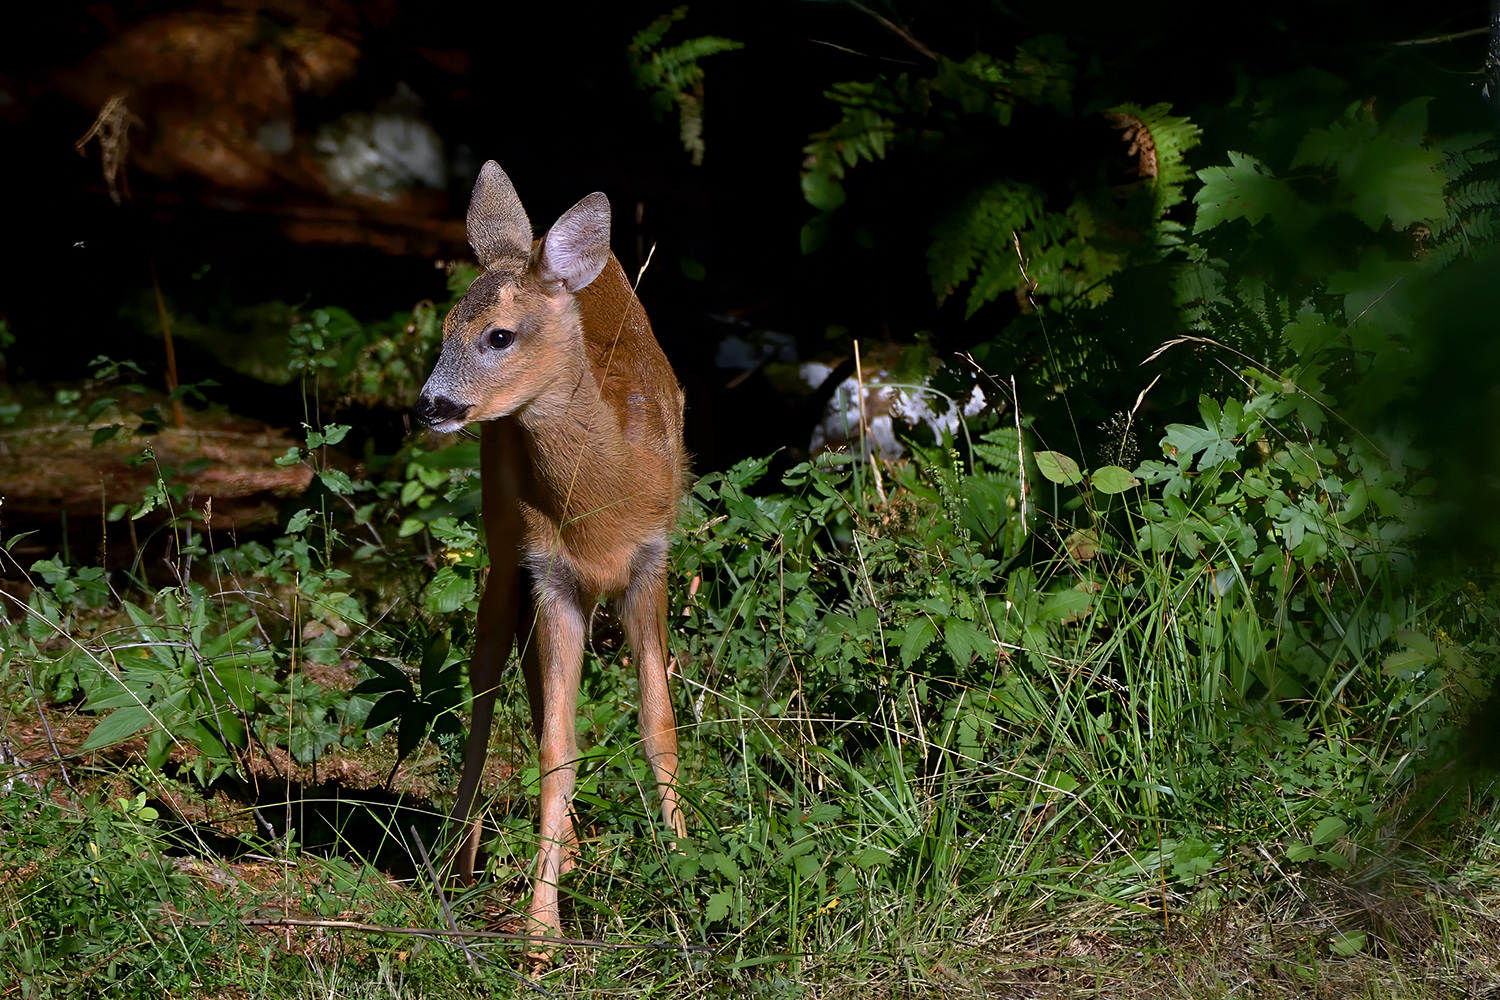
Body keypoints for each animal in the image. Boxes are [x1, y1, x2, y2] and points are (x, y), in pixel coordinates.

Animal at [414, 160, 687, 941]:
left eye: (499, 335)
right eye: (444, 328)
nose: (430, 406)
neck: (605, 499)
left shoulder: (651, 561)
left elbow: (659, 726)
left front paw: (685, 873)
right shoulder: (552, 574)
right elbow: (555, 750)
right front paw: (540, 934)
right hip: (504, 539)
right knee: (485, 674)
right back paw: (456, 864)